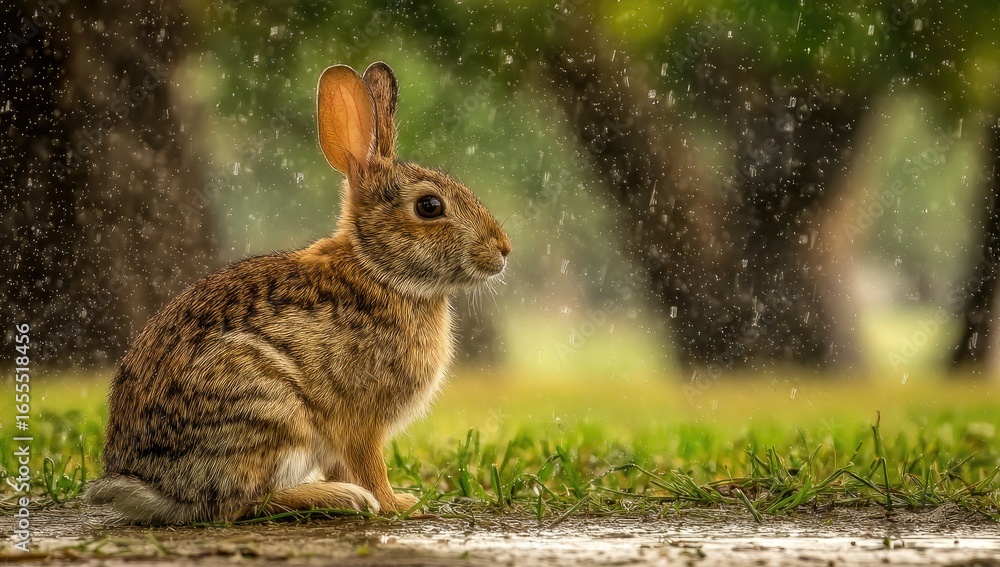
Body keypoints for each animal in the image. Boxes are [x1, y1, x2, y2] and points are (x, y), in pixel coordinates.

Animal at [85, 61, 512, 524]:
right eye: (429, 206)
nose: (503, 250)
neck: (378, 270)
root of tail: (153, 487)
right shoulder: (360, 419)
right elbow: (369, 465)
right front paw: (397, 504)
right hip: (269, 409)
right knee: (240, 504)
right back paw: (340, 498)